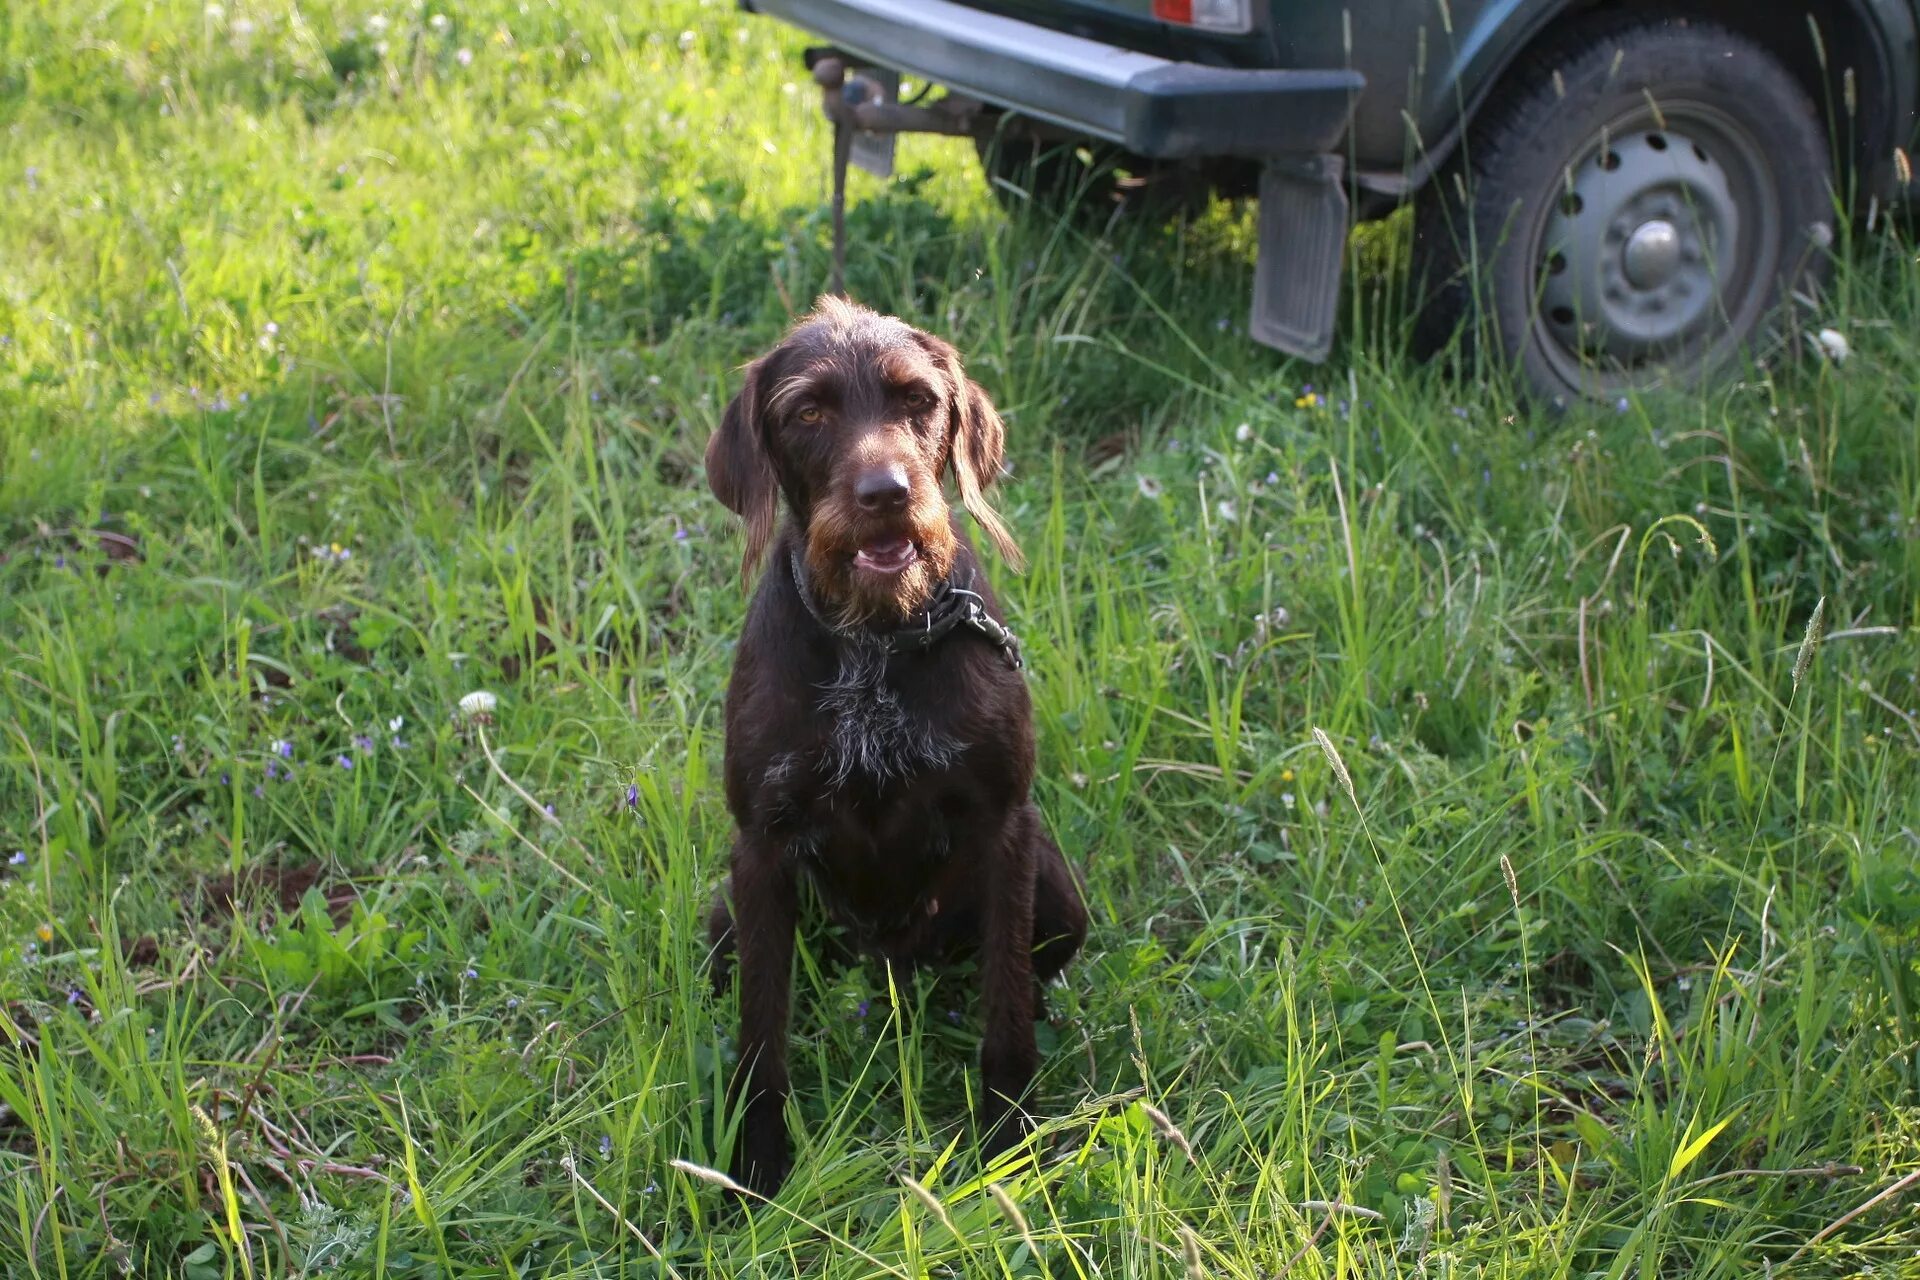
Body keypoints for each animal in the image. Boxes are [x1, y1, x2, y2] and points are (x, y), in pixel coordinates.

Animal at [706, 295, 1098, 1197]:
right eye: (809, 412)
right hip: (722, 920)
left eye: (918, 401)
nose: (886, 493)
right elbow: (761, 1036)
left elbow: (1005, 1016)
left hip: (1058, 898)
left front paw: (1009, 1145)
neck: (874, 640)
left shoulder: (1004, 827)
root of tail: (890, 964)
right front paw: (756, 1167)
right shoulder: (761, 849)